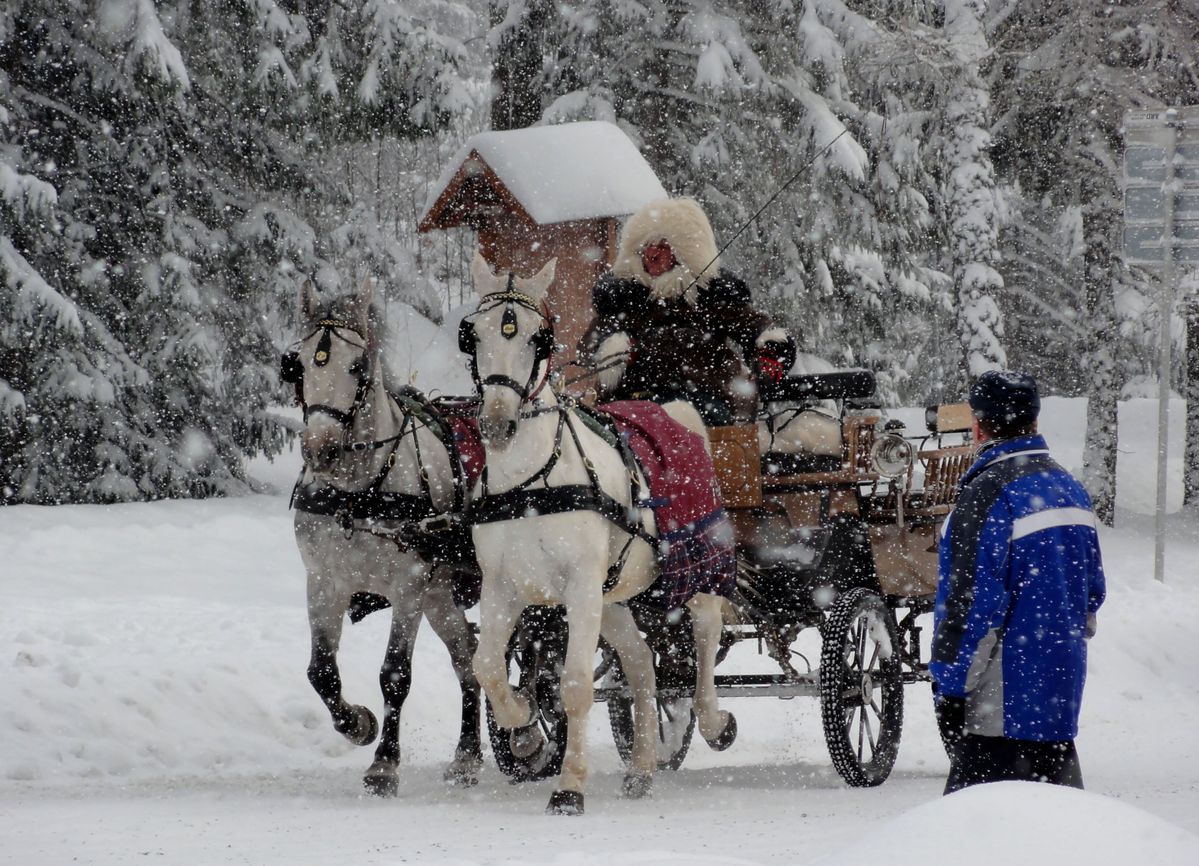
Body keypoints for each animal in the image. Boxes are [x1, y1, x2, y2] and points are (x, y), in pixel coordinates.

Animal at [286, 279, 481, 791]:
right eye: (295, 364)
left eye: (357, 366)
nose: (320, 450)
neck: (356, 495)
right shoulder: (323, 582)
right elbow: (321, 671)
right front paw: (358, 724)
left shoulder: (408, 585)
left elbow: (395, 674)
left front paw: (384, 763)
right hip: (440, 593)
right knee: (468, 657)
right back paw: (469, 753)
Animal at [462, 253, 733, 810]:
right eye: (472, 334)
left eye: (537, 338)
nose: (498, 425)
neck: (531, 483)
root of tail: (675, 410)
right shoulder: (503, 587)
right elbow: (488, 668)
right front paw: (524, 723)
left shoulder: (579, 583)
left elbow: (574, 685)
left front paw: (569, 787)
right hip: (612, 599)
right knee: (643, 663)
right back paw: (643, 767)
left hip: (694, 571)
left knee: (703, 640)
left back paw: (714, 720)